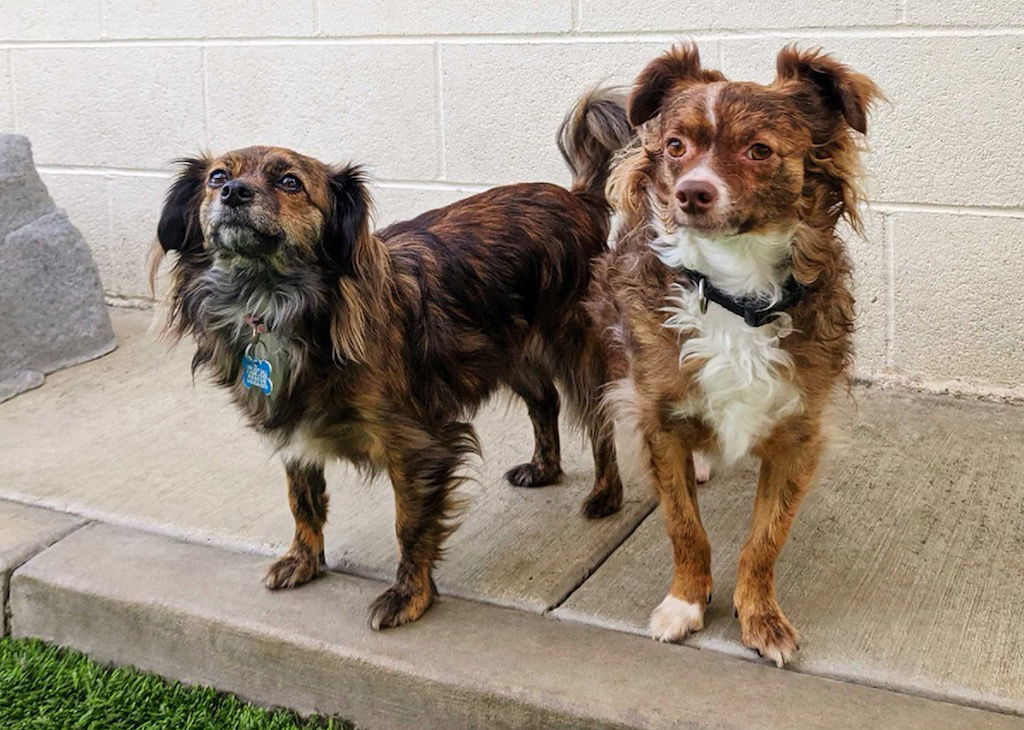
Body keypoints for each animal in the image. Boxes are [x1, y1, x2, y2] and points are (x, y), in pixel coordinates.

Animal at [153, 89, 630, 626]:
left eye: (290, 182)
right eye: (217, 177)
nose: (234, 192)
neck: (274, 302)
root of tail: (576, 198)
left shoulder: (417, 446)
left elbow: (410, 525)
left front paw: (410, 595)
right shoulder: (295, 434)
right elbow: (302, 502)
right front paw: (304, 561)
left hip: (576, 349)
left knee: (598, 419)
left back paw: (606, 494)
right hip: (511, 350)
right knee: (544, 402)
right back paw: (544, 467)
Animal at [581, 42, 884, 663]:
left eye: (759, 151)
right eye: (677, 146)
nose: (690, 192)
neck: (735, 292)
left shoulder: (798, 432)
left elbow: (765, 538)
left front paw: (761, 617)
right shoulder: (658, 414)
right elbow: (684, 526)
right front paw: (686, 602)